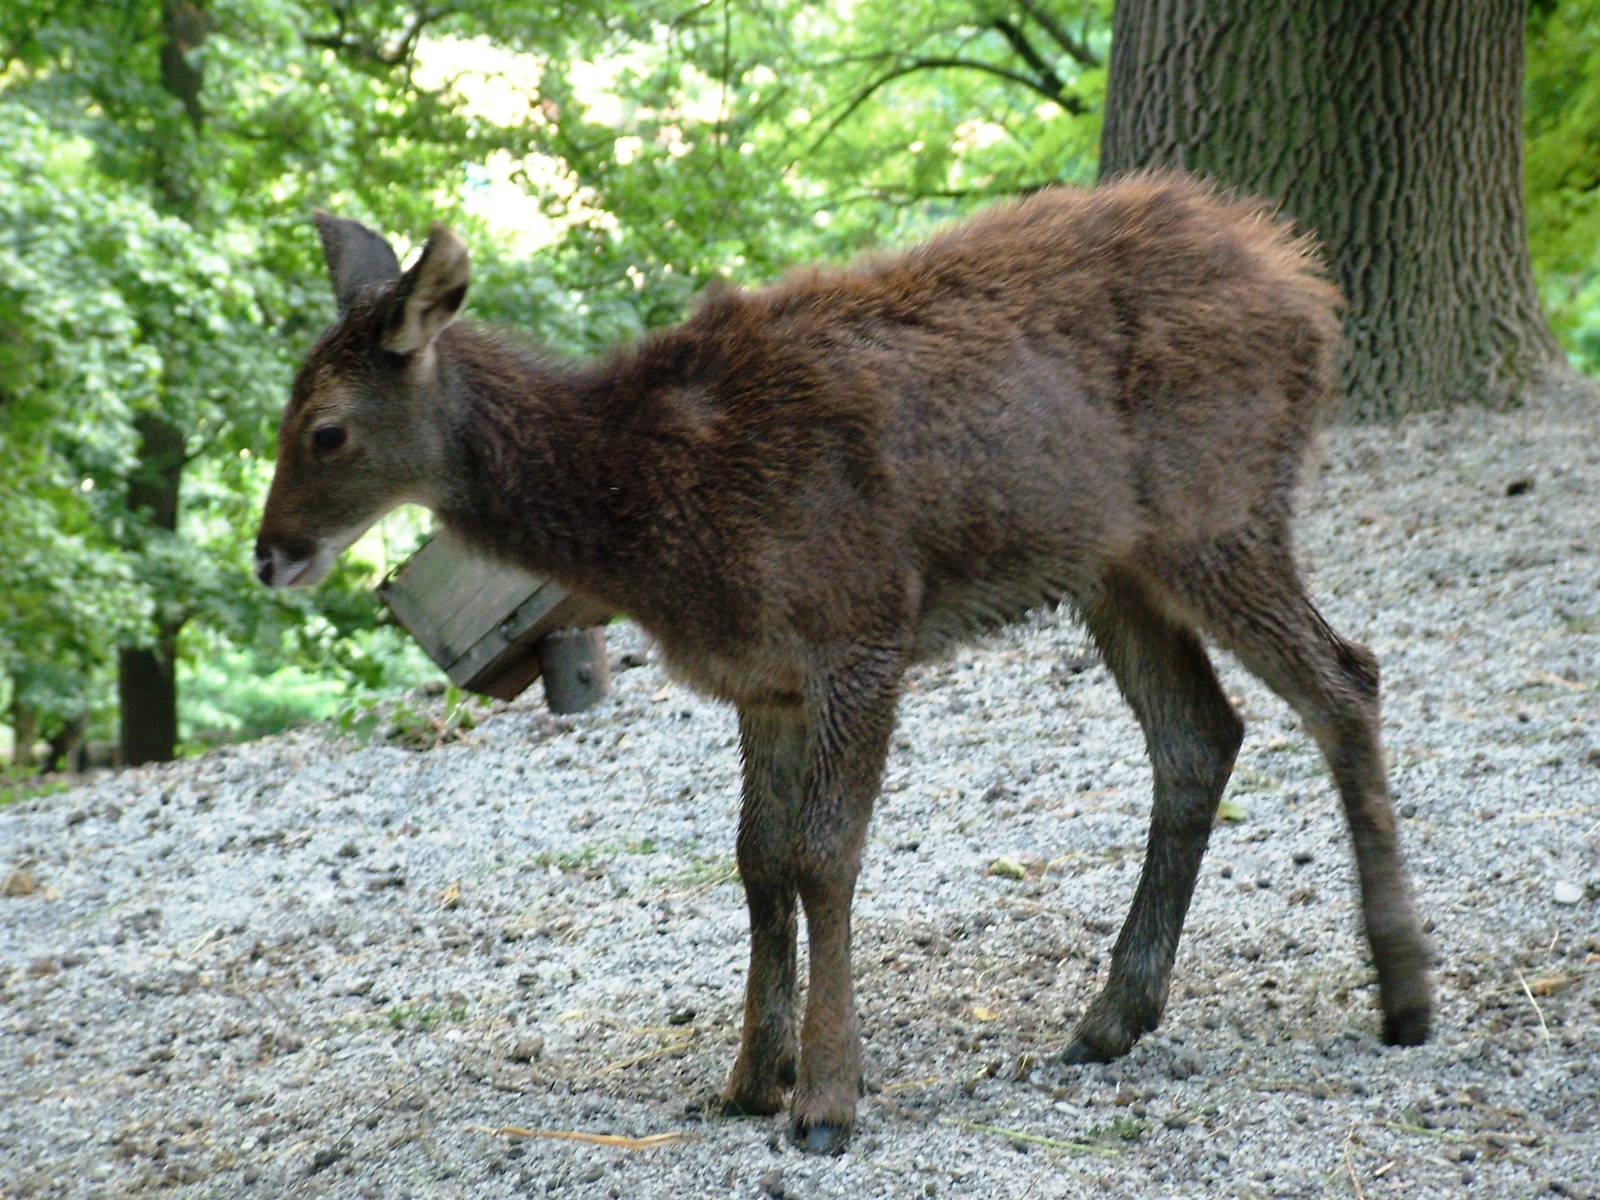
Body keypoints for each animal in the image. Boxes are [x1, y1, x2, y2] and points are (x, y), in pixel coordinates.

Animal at [256, 173, 1433, 1154]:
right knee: (1202, 734)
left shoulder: (859, 629)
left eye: (326, 430)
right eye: (284, 413)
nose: (272, 552)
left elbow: (826, 858)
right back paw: (1112, 1017)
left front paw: (827, 1100)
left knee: (1346, 678)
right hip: (1117, 565)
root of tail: (1308, 287)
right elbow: (757, 862)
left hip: (1220, 511)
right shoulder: (761, 679)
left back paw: (1405, 994)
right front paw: (748, 1077)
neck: (658, 520)